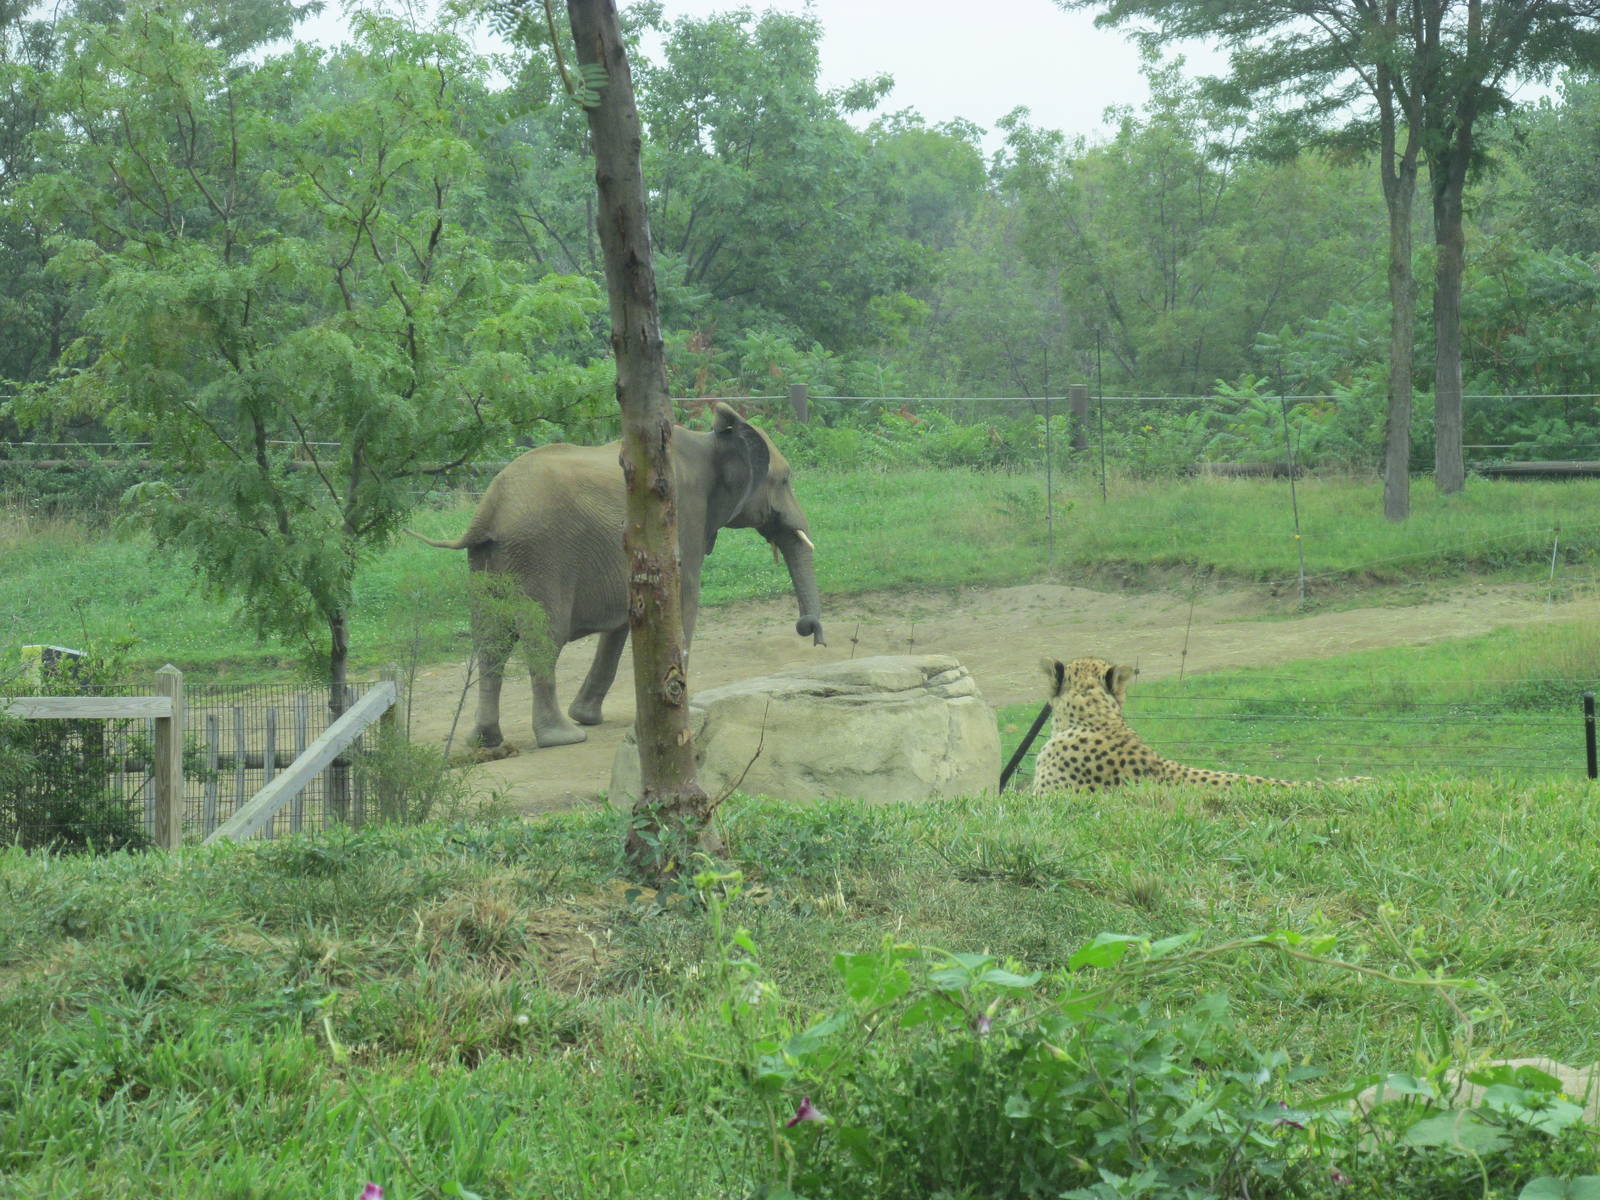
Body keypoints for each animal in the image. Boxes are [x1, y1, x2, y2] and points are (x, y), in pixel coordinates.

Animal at [412, 403, 824, 750]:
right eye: (785, 479)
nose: (809, 630)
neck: (711, 442)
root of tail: (487, 512)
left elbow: (626, 620)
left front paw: (590, 715)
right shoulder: (681, 520)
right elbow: (683, 602)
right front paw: (677, 707)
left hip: (488, 561)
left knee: (489, 640)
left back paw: (487, 740)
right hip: (539, 555)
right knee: (543, 637)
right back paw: (561, 738)